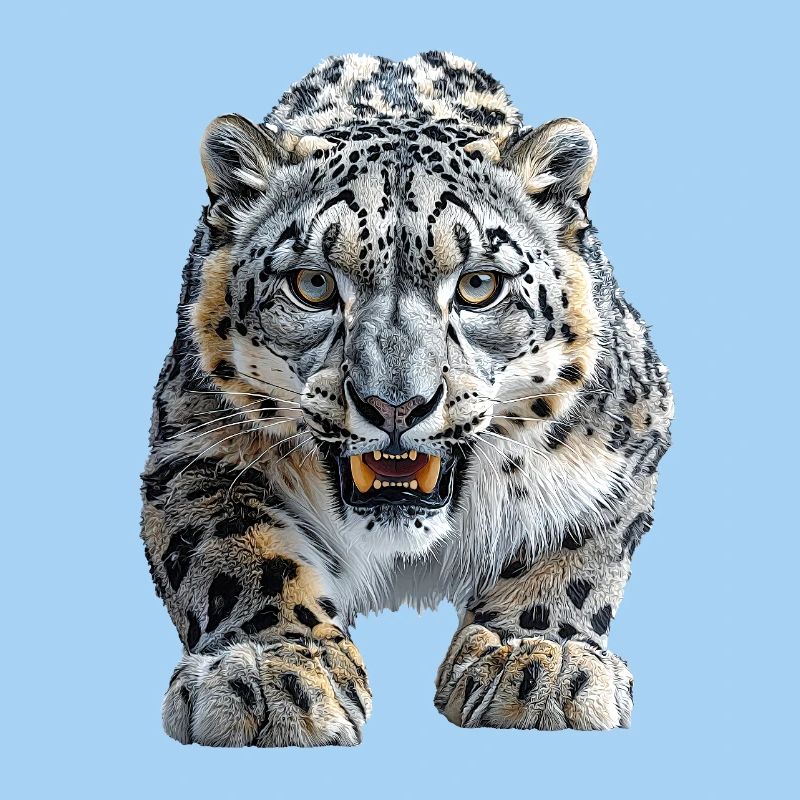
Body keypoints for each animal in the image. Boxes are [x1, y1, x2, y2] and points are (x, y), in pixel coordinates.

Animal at [141, 51, 673, 747]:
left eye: (479, 285)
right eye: (312, 284)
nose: (395, 403)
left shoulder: (625, 448)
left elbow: (574, 549)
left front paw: (539, 658)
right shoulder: (193, 445)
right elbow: (236, 553)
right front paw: (268, 671)